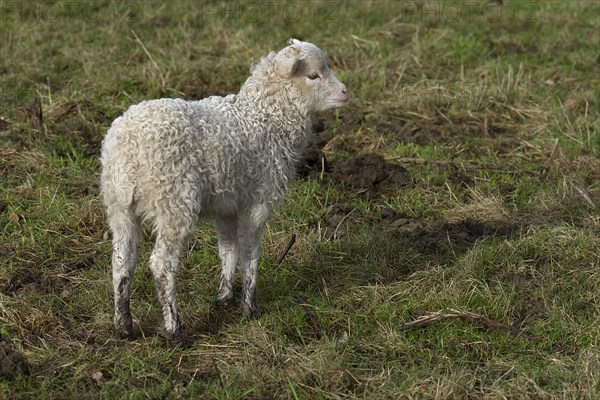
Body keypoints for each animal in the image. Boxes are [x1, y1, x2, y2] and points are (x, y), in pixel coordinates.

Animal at [101, 38, 350, 340]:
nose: (345, 93)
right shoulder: (257, 201)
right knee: (161, 264)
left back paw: (123, 325)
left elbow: (228, 249)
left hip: (118, 204)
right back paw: (173, 329)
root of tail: (128, 146)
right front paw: (249, 308)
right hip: (174, 201)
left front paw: (224, 297)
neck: (267, 118)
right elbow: (250, 253)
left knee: (121, 261)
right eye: (313, 75)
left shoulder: (227, 204)